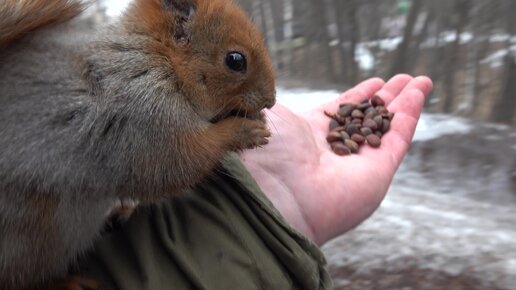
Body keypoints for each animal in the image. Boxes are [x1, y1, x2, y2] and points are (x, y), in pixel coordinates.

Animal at [0, 0, 276, 288]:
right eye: (235, 60)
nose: (271, 100)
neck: (160, 60)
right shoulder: (144, 116)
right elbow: (178, 162)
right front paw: (244, 131)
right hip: (37, 238)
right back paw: (65, 282)